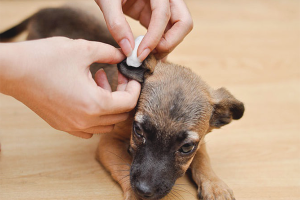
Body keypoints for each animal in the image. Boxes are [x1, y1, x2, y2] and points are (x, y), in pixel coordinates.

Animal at [0, 6, 244, 200]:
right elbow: (125, 169)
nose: (145, 190)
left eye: (186, 148)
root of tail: (43, 11)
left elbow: (203, 159)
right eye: (138, 131)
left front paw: (215, 185)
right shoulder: (108, 144)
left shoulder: (201, 141)